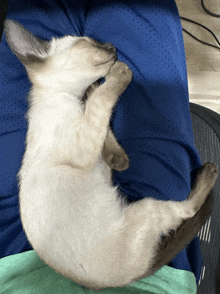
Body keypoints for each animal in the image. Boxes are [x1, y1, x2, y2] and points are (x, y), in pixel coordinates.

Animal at [3, 19, 218, 290]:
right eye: (89, 43)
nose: (113, 47)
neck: (72, 98)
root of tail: (131, 277)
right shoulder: (85, 142)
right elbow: (102, 101)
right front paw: (120, 73)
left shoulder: (96, 136)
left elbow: (104, 123)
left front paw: (118, 157)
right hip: (147, 209)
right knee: (188, 210)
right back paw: (209, 173)